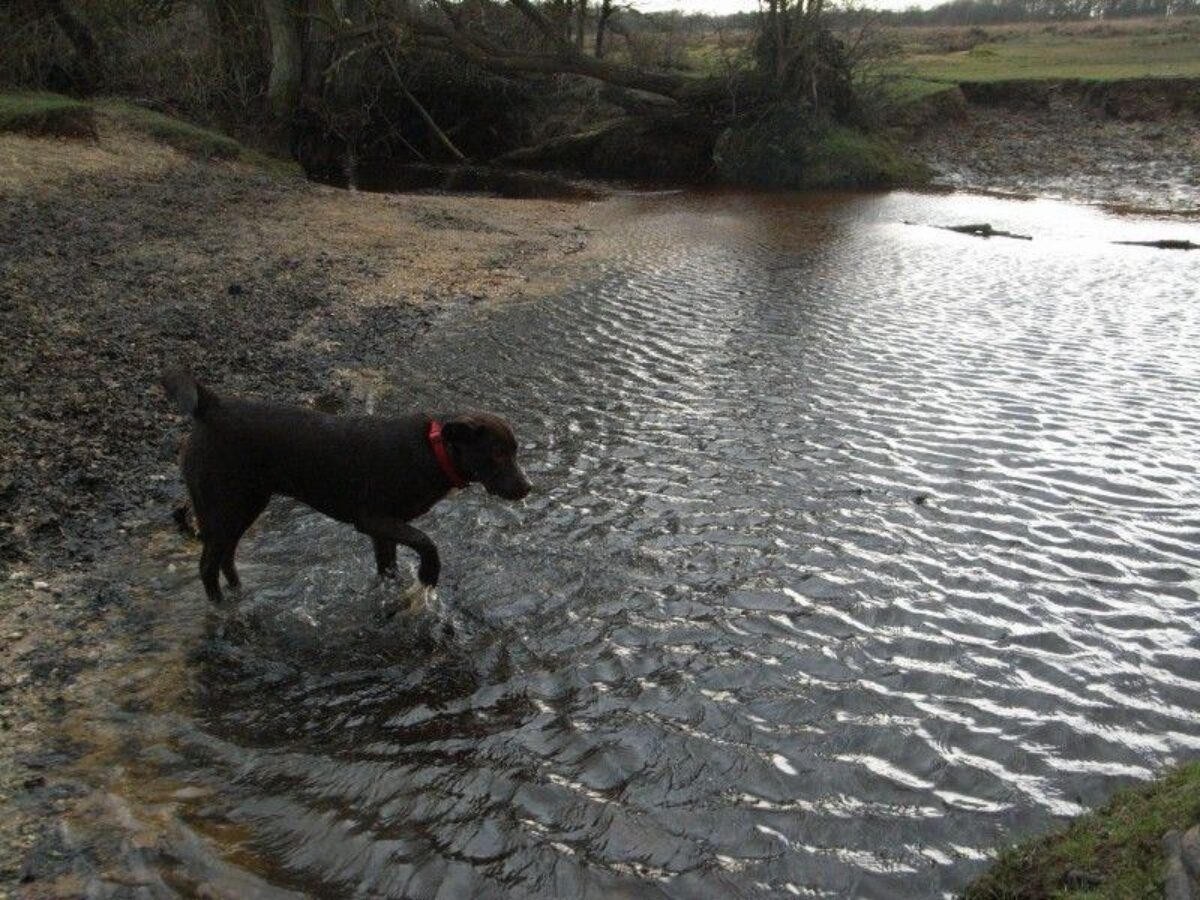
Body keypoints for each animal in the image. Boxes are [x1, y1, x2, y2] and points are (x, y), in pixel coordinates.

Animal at [163, 369, 530, 609]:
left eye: (515, 451)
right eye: (499, 453)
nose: (528, 487)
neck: (432, 451)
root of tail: (211, 406)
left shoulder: (383, 531)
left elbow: (389, 567)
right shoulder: (372, 519)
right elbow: (427, 542)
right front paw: (428, 575)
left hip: (245, 504)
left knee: (226, 558)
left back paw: (239, 595)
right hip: (223, 506)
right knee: (207, 566)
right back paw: (221, 609)